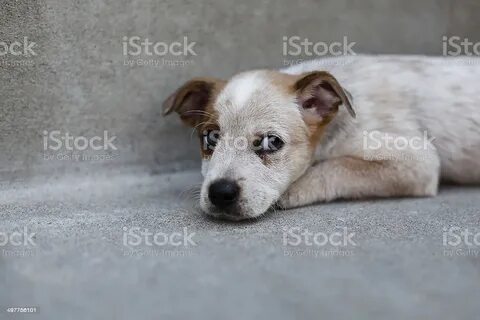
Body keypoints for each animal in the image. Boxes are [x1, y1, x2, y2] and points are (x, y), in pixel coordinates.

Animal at [164, 55, 480, 220]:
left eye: (271, 143)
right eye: (210, 138)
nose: (220, 193)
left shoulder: (418, 161)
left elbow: (338, 167)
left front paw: (293, 191)